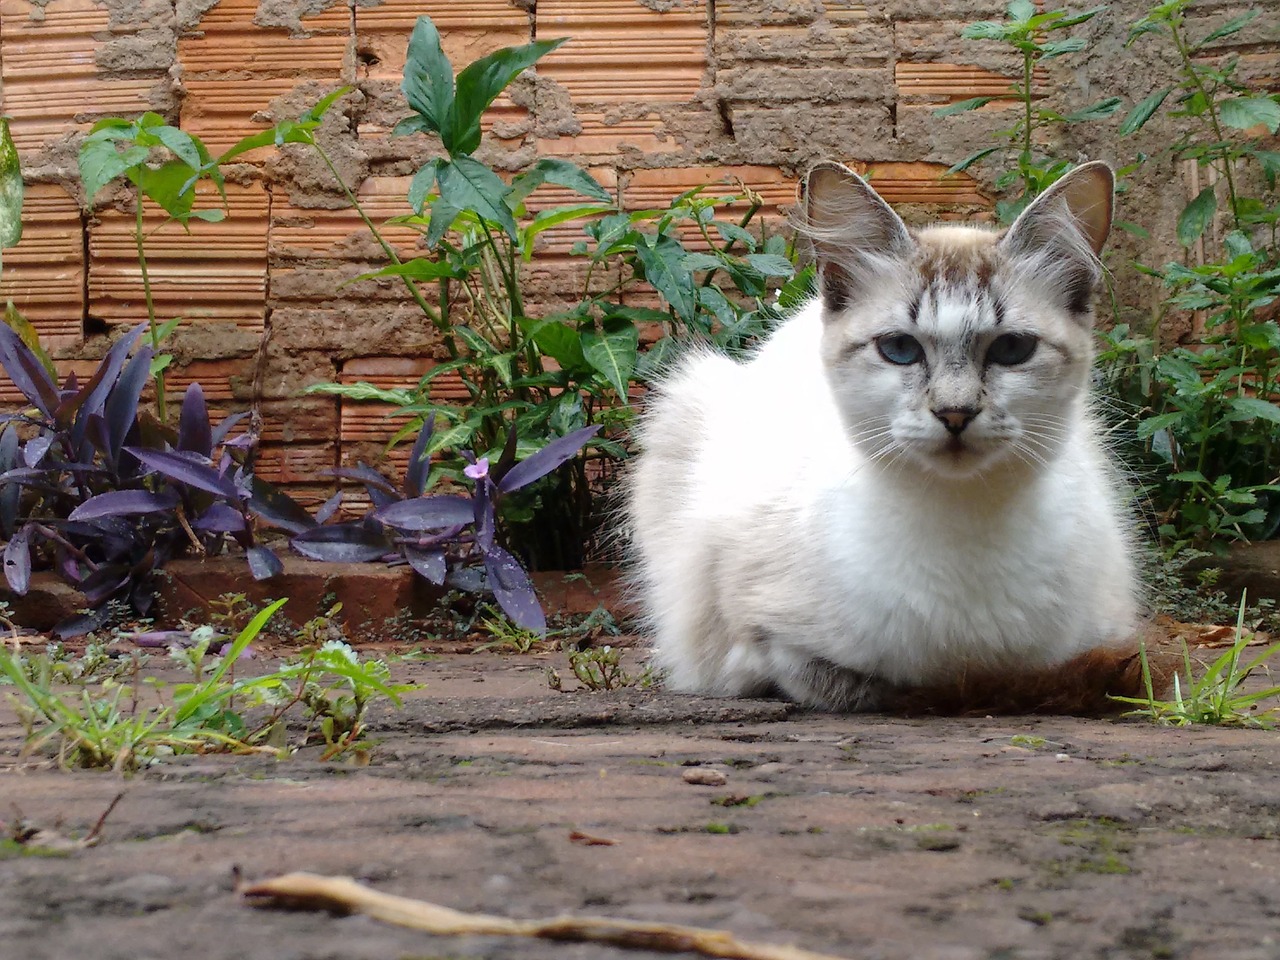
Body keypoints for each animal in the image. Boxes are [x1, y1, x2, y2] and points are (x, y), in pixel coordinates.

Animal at [622, 161, 1141, 711]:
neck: (959, 524)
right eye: (899, 349)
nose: (955, 414)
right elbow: (857, 684)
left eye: (1012, 349)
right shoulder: (762, 635)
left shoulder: (1096, 637)